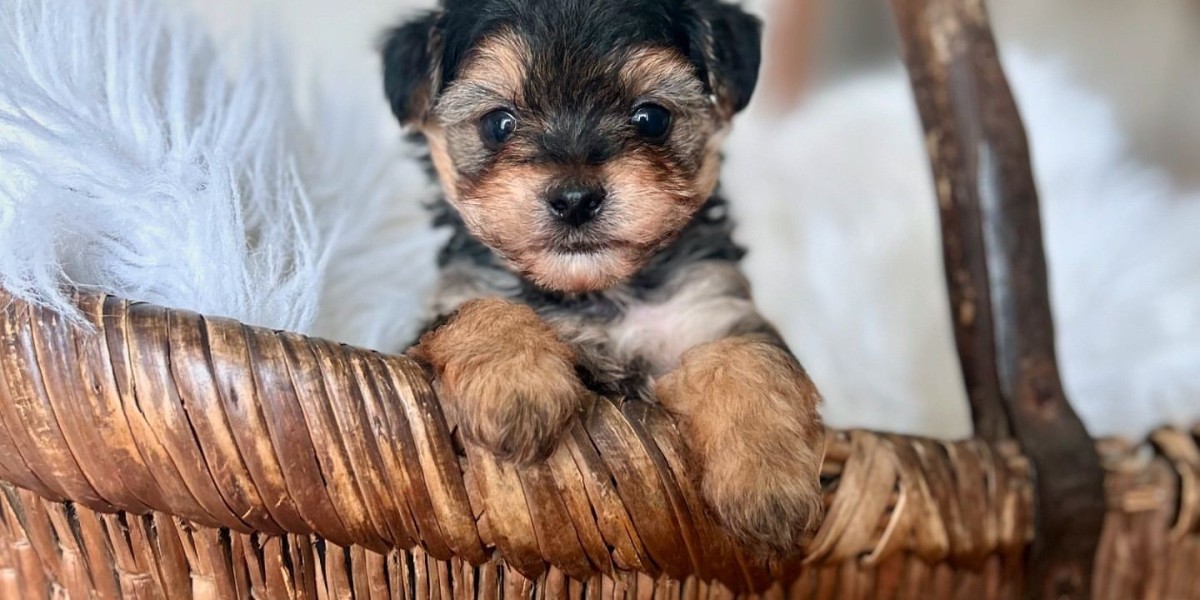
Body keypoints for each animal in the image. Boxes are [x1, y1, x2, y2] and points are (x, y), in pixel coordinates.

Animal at [384, 0, 825, 554]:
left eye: (652, 119)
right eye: (498, 124)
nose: (575, 198)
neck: (599, 293)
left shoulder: (713, 306)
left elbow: (748, 356)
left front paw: (767, 481)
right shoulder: (450, 302)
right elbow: (480, 309)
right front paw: (515, 388)